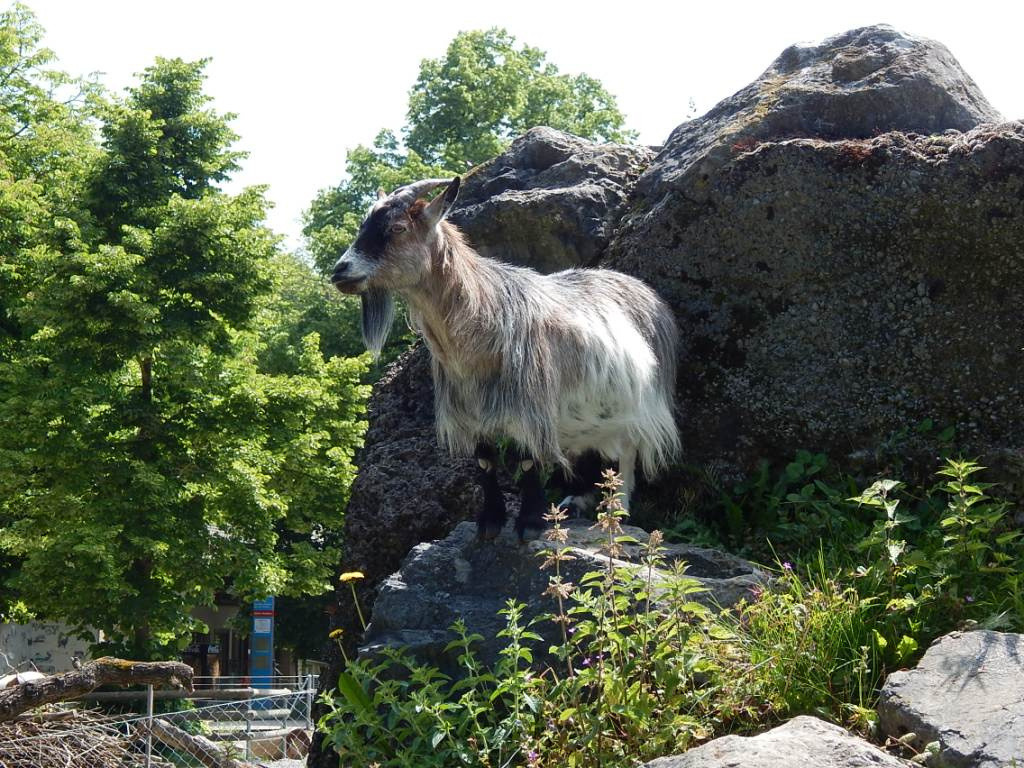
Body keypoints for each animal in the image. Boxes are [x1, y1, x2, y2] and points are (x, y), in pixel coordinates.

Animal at [329, 179, 679, 540]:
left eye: (397, 228)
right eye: (364, 225)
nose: (340, 270)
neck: (483, 317)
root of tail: (648, 294)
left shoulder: (530, 405)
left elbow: (528, 460)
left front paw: (530, 523)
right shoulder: (471, 409)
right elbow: (485, 461)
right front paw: (490, 521)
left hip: (637, 404)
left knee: (627, 450)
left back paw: (618, 509)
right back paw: (575, 501)